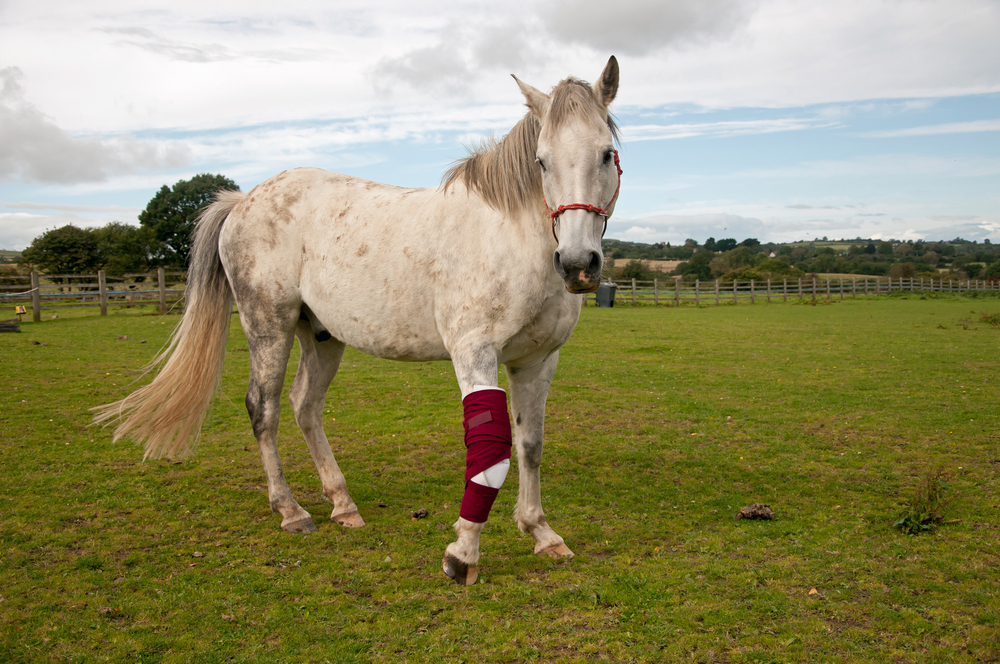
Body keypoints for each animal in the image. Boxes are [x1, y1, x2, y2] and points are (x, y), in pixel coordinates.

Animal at [95, 58, 624, 588]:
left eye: (606, 154)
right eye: (541, 161)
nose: (577, 264)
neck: (510, 238)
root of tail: (243, 201)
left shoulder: (537, 360)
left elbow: (529, 443)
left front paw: (541, 532)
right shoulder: (474, 352)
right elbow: (490, 451)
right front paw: (463, 555)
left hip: (322, 337)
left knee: (305, 406)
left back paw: (342, 504)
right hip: (268, 326)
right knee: (263, 408)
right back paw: (291, 510)